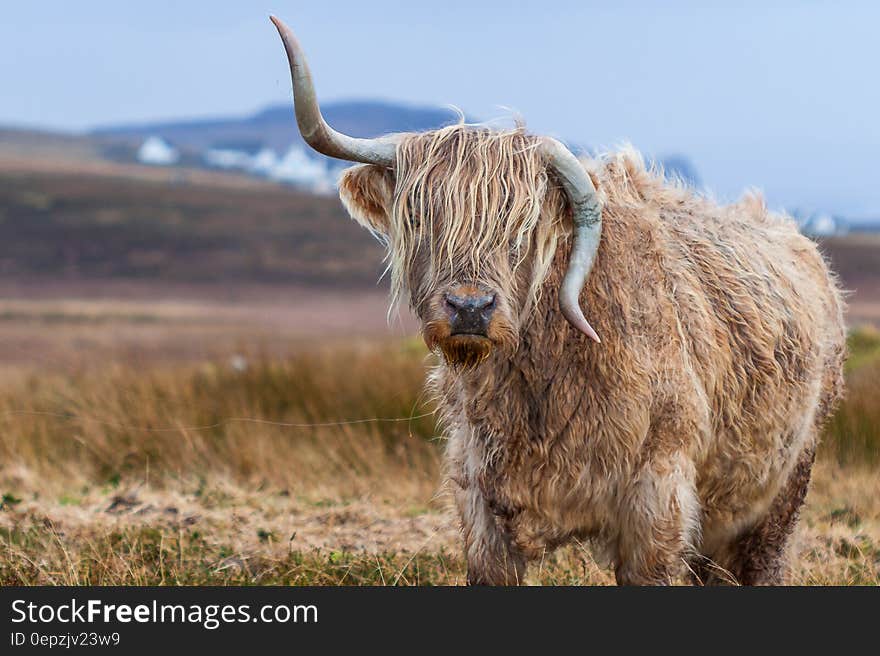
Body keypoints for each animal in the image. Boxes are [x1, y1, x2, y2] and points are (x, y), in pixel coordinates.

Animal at [270, 16, 844, 584]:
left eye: (522, 226)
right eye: (420, 216)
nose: (470, 308)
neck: (539, 381)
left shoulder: (658, 495)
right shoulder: (479, 497)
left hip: (788, 483)